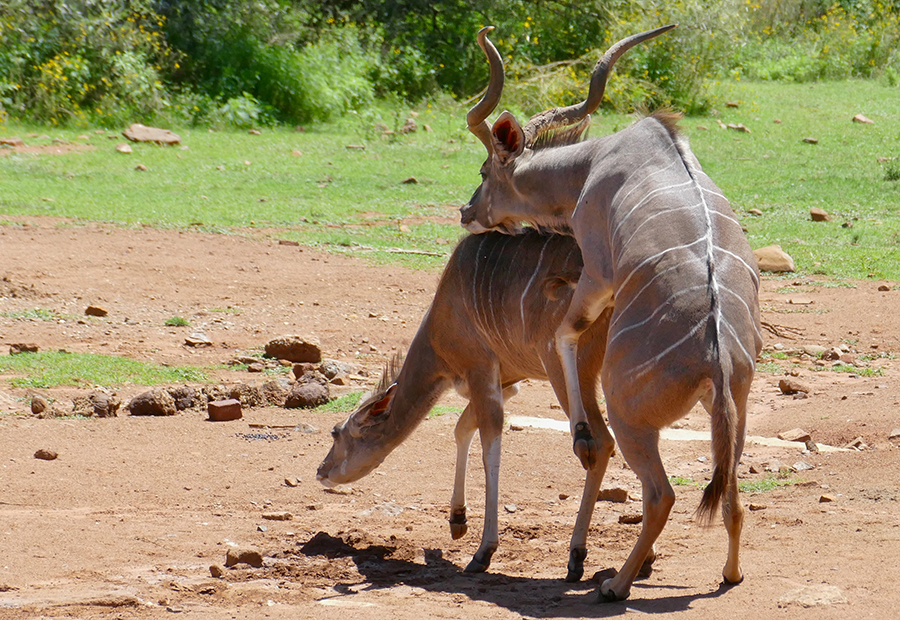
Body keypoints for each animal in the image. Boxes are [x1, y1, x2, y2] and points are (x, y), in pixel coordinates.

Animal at [316, 230, 620, 580]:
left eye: (336, 432)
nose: (321, 471)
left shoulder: (480, 368)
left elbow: (490, 447)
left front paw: (483, 551)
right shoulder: (506, 383)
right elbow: (462, 428)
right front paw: (457, 519)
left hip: (565, 369)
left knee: (601, 441)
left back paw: (576, 555)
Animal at [460, 25, 764, 600]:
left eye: (486, 169)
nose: (467, 211)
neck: (598, 163)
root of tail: (718, 357)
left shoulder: (599, 272)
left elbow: (566, 332)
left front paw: (580, 434)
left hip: (628, 415)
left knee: (662, 493)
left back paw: (616, 584)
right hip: (734, 411)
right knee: (733, 496)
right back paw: (729, 573)